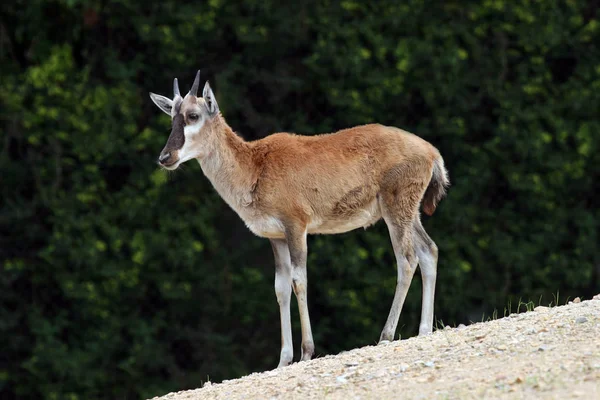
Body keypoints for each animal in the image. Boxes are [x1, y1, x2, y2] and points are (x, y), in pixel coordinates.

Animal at [150, 70, 450, 368]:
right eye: (172, 116)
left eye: (193, 115)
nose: (165, 157)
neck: (255, 166)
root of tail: (431, 152)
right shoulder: (276, 237)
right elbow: (280, 288)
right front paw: (283, 360)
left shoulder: (296, 227)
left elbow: (299, 280)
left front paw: (307, 351)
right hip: (409, 214)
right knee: (429, 250)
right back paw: (424, 330)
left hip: (396, 210)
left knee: (407, 259)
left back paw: (386, 335)